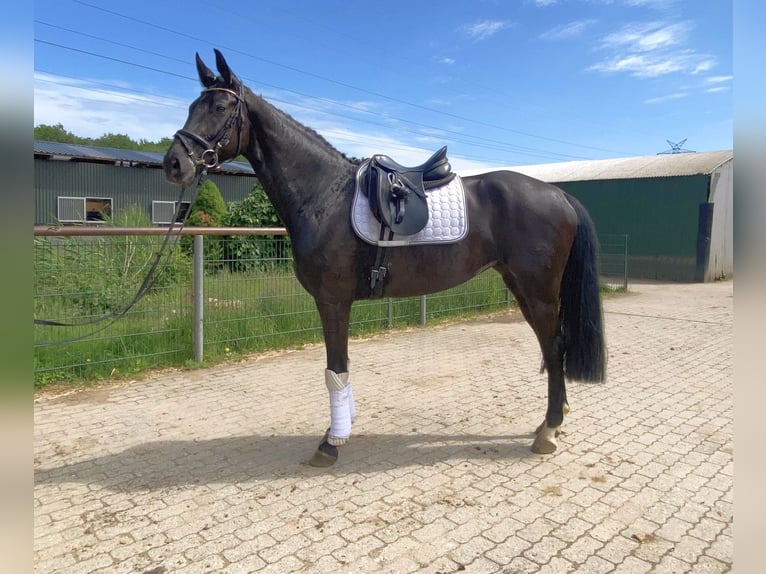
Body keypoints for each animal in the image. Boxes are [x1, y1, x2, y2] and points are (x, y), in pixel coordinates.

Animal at [164, 50, 608, 468]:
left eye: (220, 108)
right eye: (192, 106)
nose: (174, 164)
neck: (324, 195)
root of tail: (559, 194)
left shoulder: (332, 301)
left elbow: (335, 370)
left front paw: (331, 443)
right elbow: (340, 369)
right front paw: (342, 427)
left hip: (539, 291)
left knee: (554, 347)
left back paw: (549, 430)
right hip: (519, 285)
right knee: (551, 348)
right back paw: (551, 422)